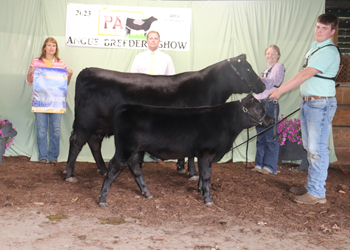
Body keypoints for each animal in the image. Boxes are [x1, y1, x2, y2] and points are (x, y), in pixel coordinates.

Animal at [65, 54, 266, 182]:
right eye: (248, 68)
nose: (263, 85)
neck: (208, 88)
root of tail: (87, 70)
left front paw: (181, 168)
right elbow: (192, 155)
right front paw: (192, 173)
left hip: (98, 126)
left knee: (94, 143)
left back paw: (103, 169)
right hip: (85, 122)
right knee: (76, 142)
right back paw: (69, 175)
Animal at [98, 93, 274, 206]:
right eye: (259, 108)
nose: (271, 120)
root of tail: (125, 107)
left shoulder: (204, 156)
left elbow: (202, 174)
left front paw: (201, 190)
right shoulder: (206, 152)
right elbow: (207, 175)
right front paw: (208, 199)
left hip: (135, 150)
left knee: (135, 168)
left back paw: (147, 193)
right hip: (126, 148)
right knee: (113, 169)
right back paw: (102, 199)